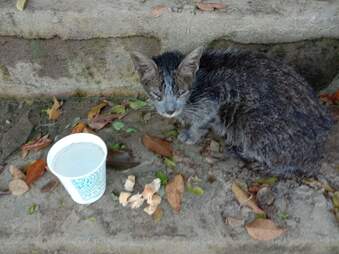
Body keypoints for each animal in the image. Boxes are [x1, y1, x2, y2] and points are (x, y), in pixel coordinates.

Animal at [131, 46, 334, 176]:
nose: (170, 111)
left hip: (250, 122)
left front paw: (192, 133)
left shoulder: (215, 97)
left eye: (181, 92)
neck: (198, 82)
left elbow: (201, 120)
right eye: (157, 94)